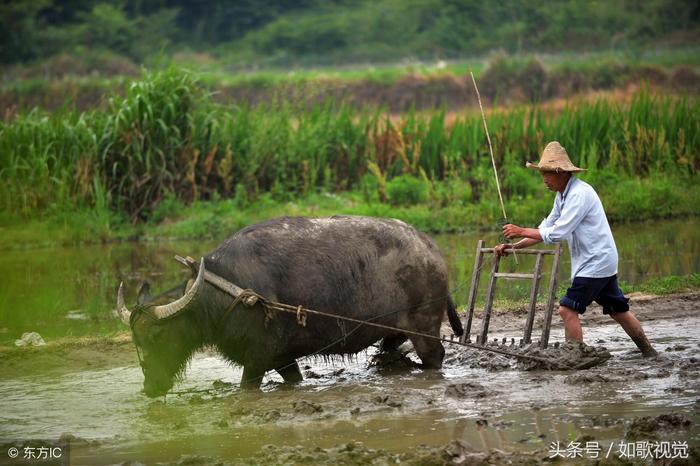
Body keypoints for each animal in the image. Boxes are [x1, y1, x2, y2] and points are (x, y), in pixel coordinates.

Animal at [117, 216, 462, 396]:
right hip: (393, 332)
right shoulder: (282, 359)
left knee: (435, 357)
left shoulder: (256, 359)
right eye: (135, 339)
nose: (151, 386)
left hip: (425, 328)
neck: (225, 293)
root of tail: (430, 249)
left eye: (159, 336)